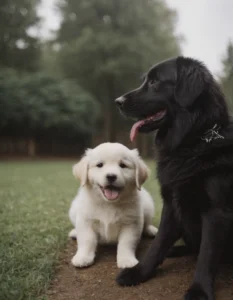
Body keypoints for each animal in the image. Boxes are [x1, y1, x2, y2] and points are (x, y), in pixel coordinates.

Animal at [115, 56, 233, 300]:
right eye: (145, 80)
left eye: (155, 82)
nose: (117, 101)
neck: (194, 140)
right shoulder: (172, 202)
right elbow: (158, 243)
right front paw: (139, 272)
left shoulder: (217, 212)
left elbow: (207, 254)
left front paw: (199, 290)